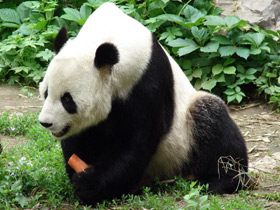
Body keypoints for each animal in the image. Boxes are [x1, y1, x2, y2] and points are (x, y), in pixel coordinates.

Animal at [38, 1, 250, 205]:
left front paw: (89, 184)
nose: (45, 122)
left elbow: (135, 141)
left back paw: (222, 180)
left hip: (185, 137)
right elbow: (80, 139)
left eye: (67, 99)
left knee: (212, 119)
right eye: (46, 92)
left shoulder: (146, 81)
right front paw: (81, 174)